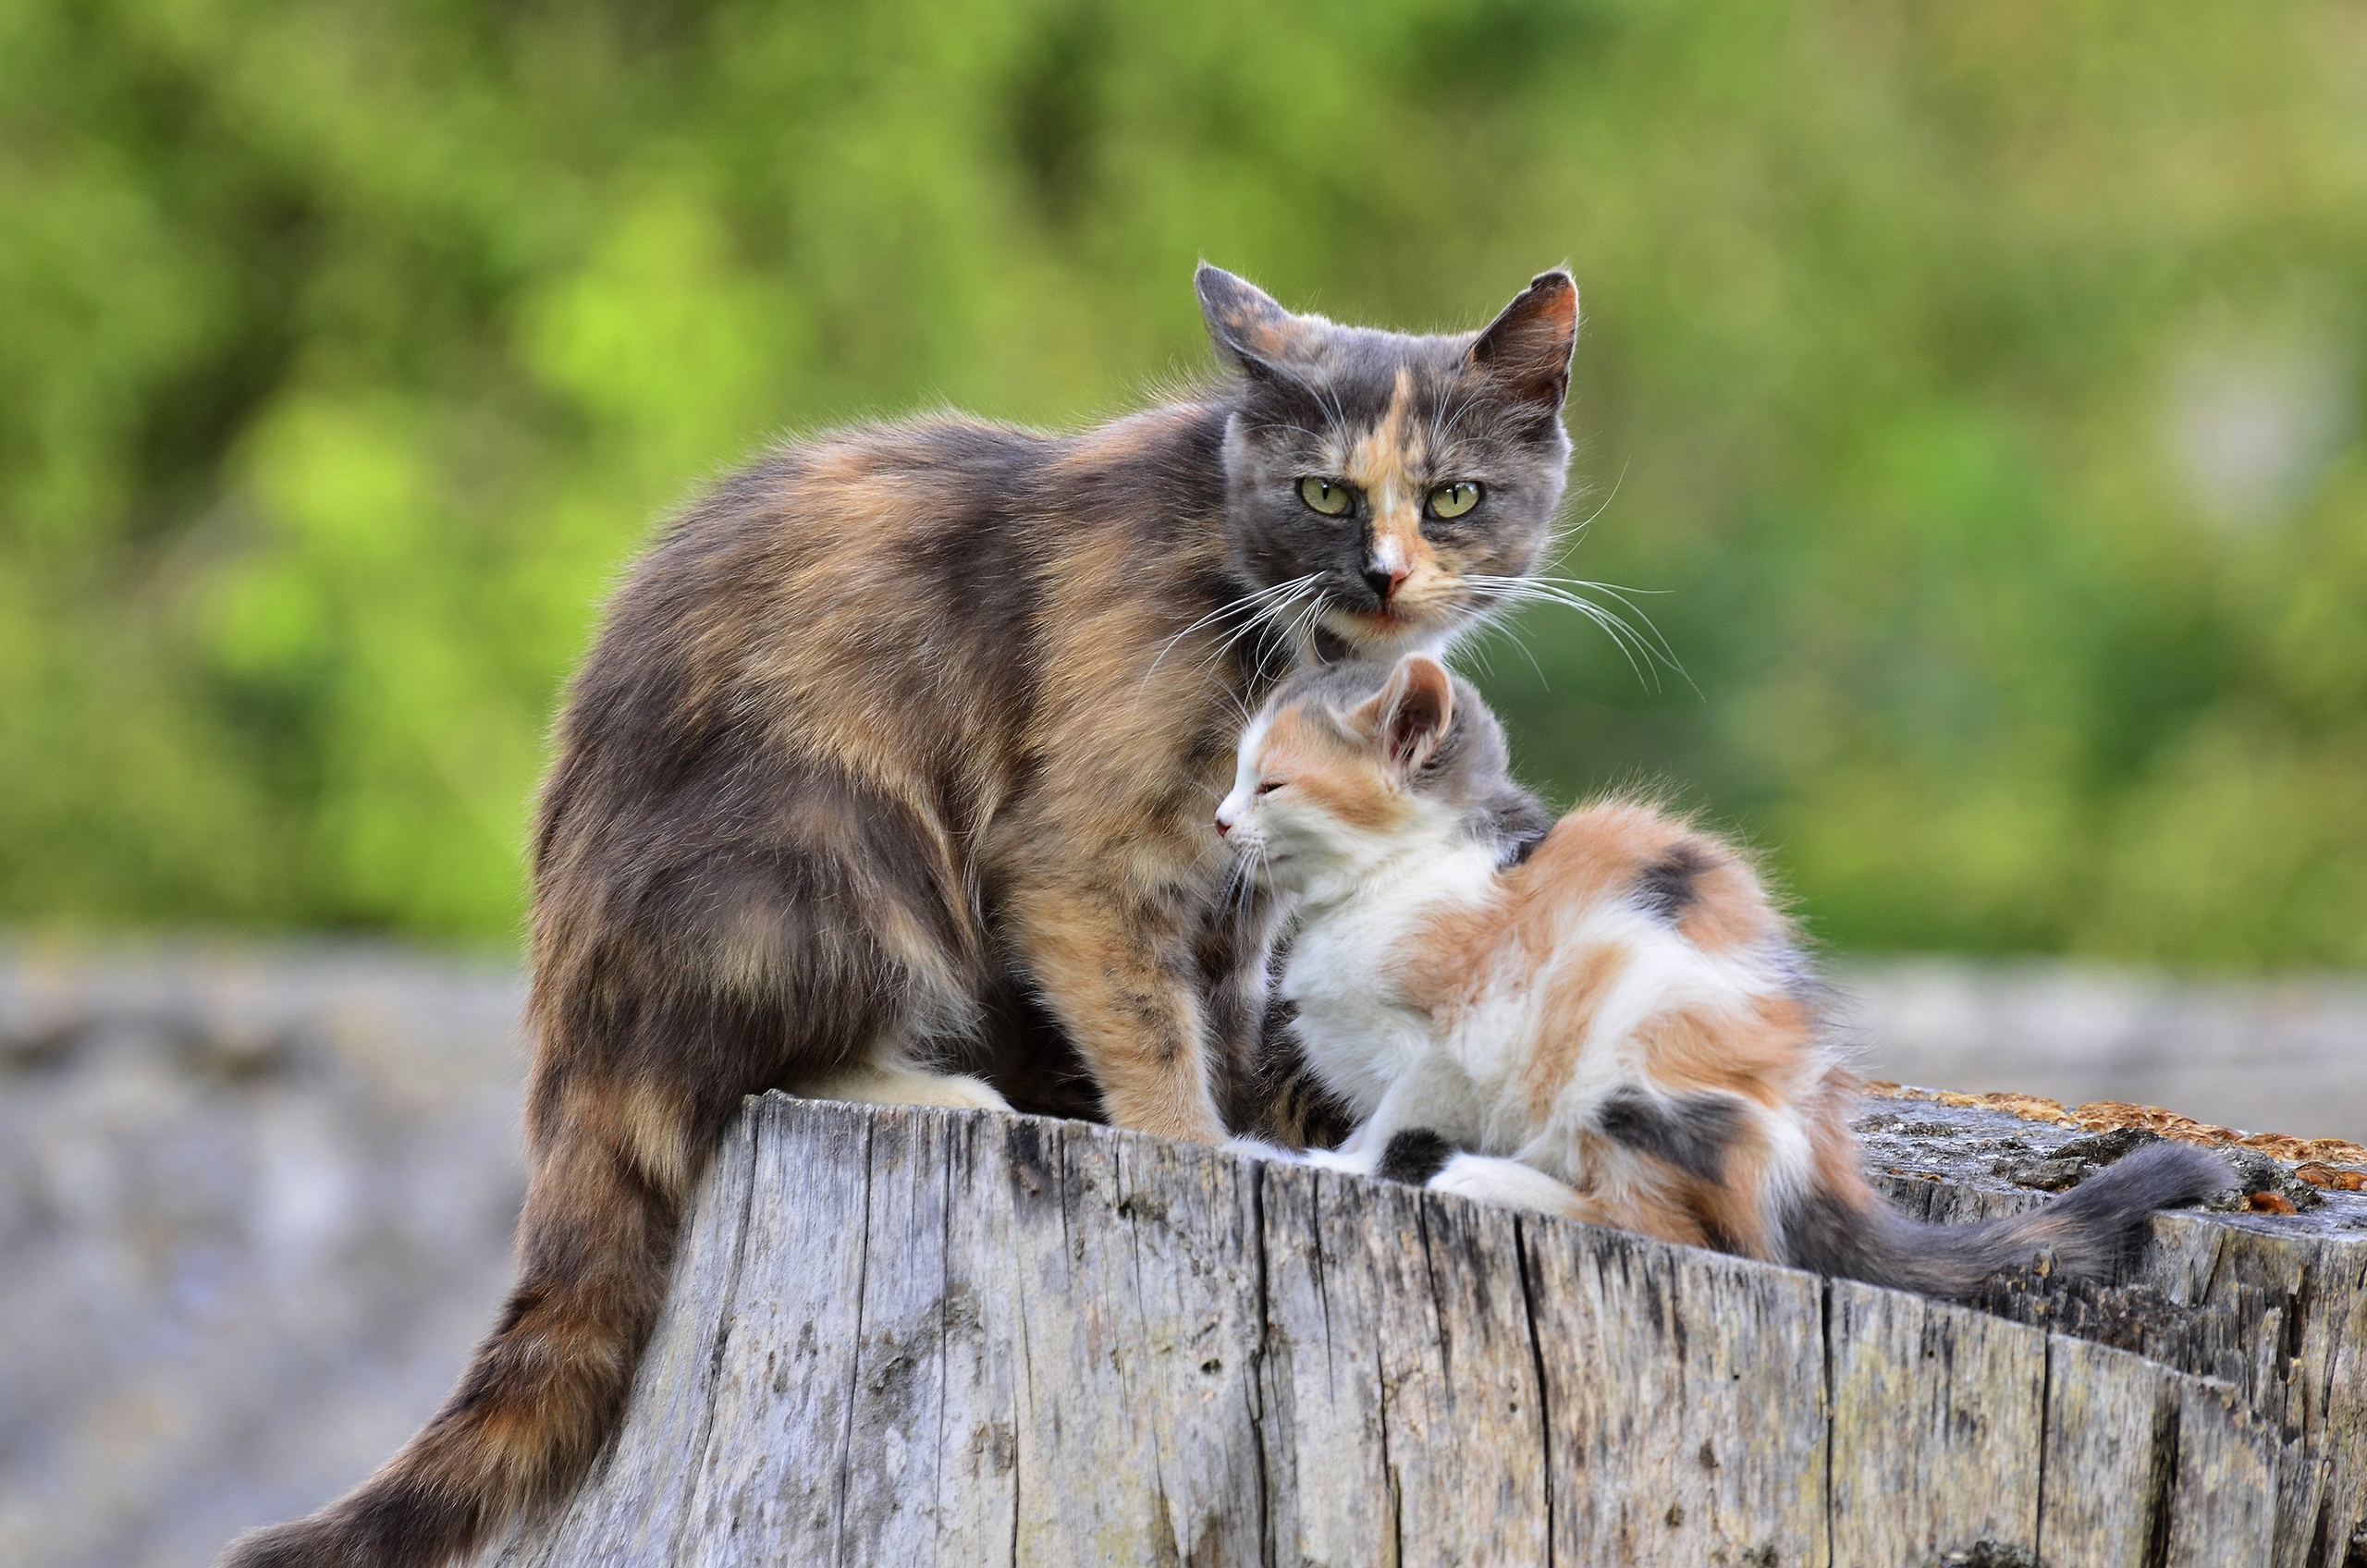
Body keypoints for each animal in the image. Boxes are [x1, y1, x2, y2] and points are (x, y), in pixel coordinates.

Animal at [222, 267, 1581, 1568]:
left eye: (1453, 498)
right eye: (1324, 493)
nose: (1384, 573)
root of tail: (571, 1060)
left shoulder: (1239, 900)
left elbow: (1227, 1018)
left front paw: (1260, 1120)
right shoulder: (1078, 853)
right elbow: (1146, 1023)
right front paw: (1196, 1143)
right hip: (831, 848)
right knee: (745, 1071)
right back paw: (935, 1088)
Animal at [1211, 654, 2225, 1297]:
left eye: (1271, 784)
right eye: (1234, 774)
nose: (1219, 821)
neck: (1395, 878)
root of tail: (1820, 1161)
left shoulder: (1453, 1042)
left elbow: (1387, 1124)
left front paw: (1328, 1165)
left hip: (1634, 1070)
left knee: (1689, 1233)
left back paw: (1482, 1182)